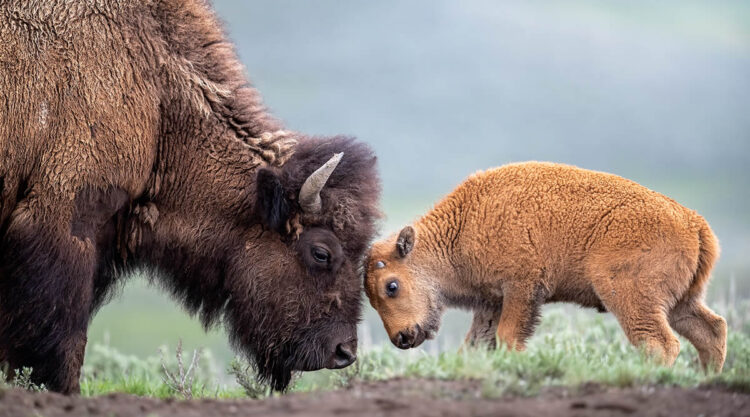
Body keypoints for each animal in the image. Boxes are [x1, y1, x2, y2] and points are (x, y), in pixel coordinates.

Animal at [368, 162, 732, 370]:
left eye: (391, 285)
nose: (402, 338)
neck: (463, 225)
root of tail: (693, 222)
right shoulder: (492, 301)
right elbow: (476, 344)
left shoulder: (521, 289)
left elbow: (506, 337)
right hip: (681, 302)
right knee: (711, 330)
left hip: (630, 297)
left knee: (660, 343)